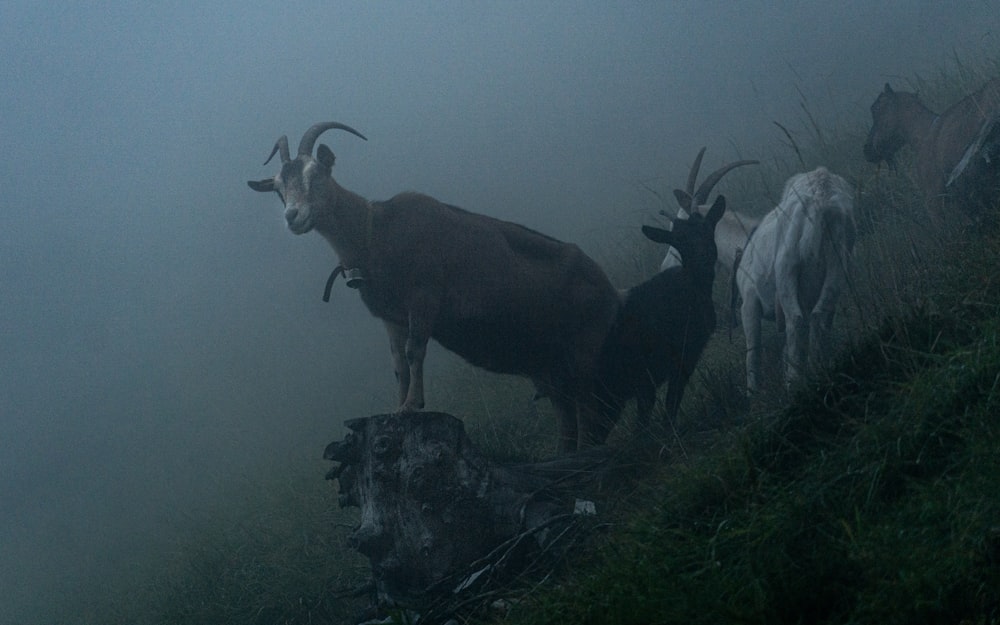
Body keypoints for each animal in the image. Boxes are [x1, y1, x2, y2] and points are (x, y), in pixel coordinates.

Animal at [246, 123, 620, 454]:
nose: (293, 217)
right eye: (278, 188)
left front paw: (413, 405)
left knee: (588, 404)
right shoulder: (391, 315)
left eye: (317, 175)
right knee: (567, 409)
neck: (374, 234)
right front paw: (396, 407)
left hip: (585, 348)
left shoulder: (424, 295)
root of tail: (610, 289)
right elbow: (398, 362)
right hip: (549, 362)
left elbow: (415, 351)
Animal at [736, 166, 860, 390]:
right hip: (837, 268)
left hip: (787, 268)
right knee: (819, 317)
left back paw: (794, 383)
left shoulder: (749, 302)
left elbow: (753, 351)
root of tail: (822, 203)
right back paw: (819, 370)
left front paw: (753, 392)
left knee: (796, 319)